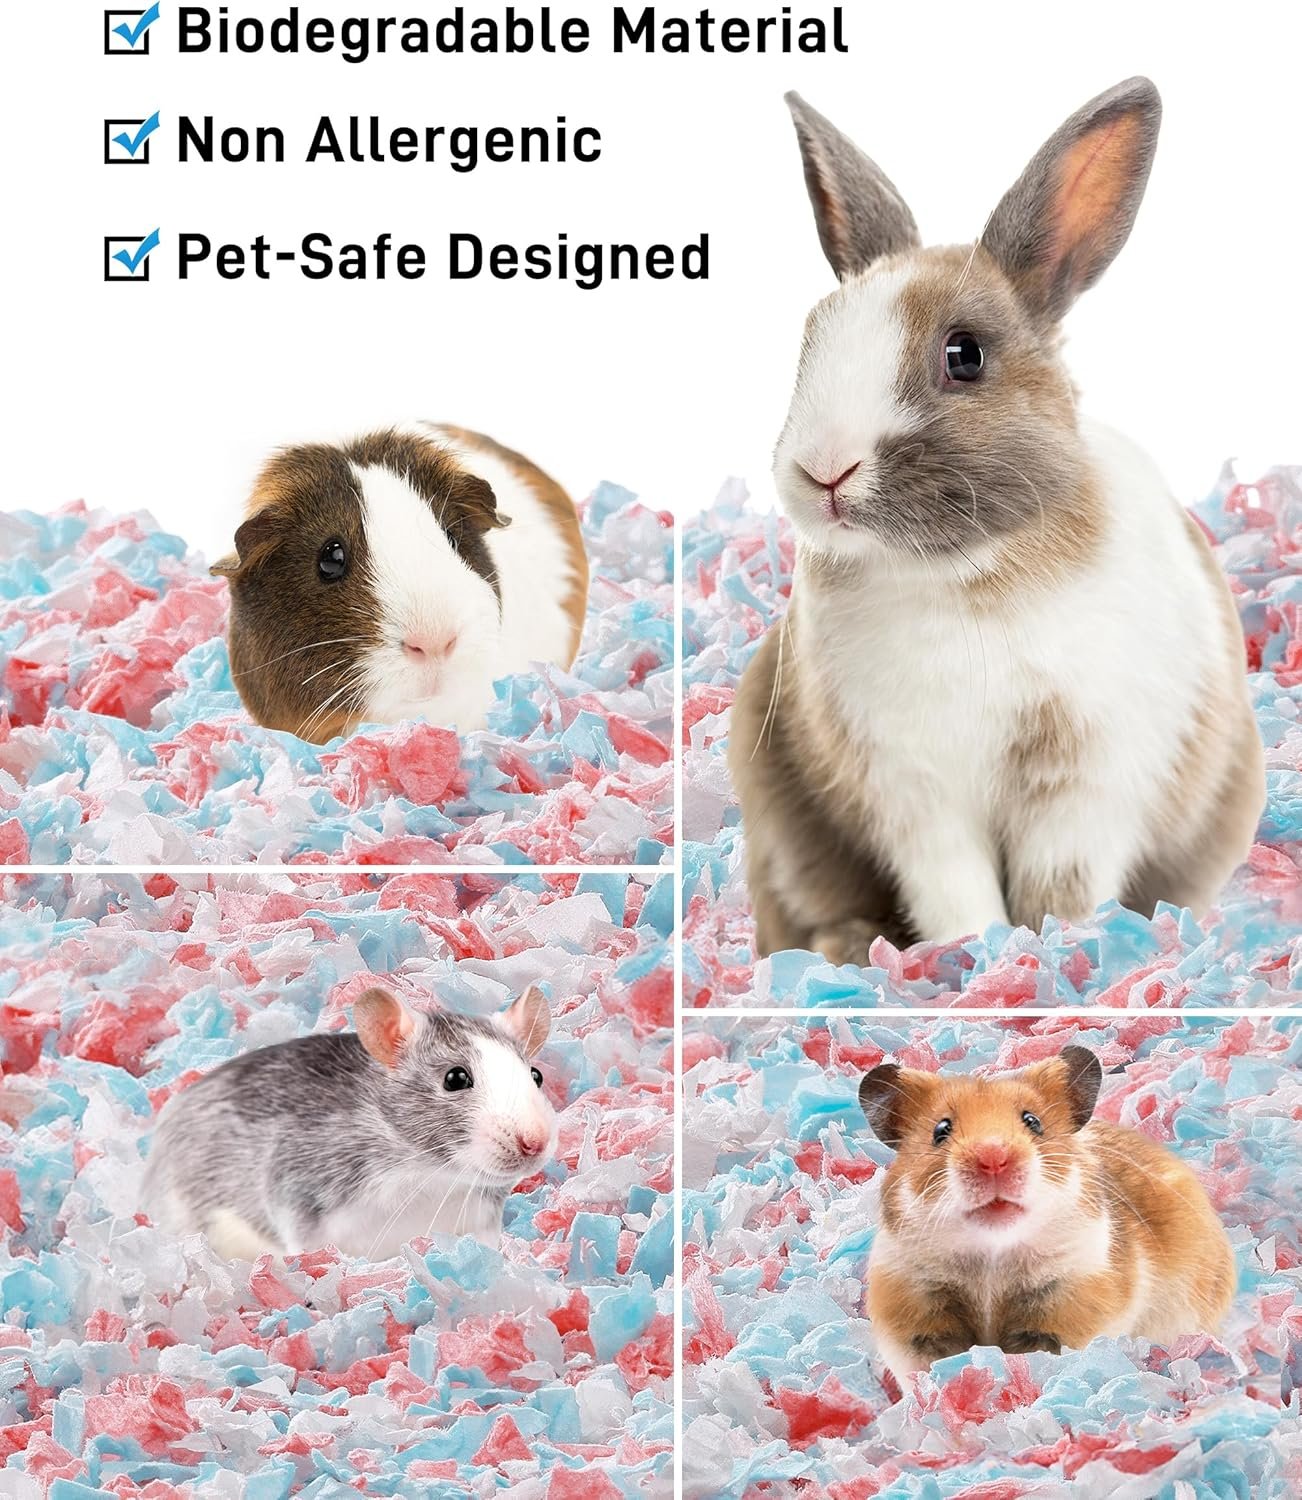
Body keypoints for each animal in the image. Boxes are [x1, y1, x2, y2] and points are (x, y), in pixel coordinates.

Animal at [730, 77, 1265, 963]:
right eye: (810, 342)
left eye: (964, 355)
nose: (822, 471)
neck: (965, 573)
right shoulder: (914, 795)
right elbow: (954, 889)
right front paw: (974, 956)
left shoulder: (1088, 782)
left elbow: (1064, 885)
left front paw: (1051, 954)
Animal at [858, 1045, 1235, 1384]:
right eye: (940, 1130)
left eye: (1033, 1121)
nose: (993, 1158)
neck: (992, 1255)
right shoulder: (914, 1310)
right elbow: (926, 1368)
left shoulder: (1071, 1301)